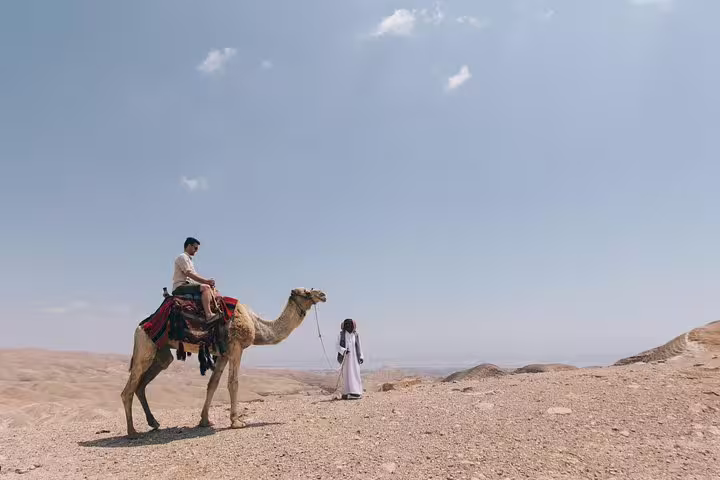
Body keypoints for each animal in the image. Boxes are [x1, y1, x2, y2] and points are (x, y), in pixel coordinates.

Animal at [121, 287, 327, 437]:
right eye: (307, 292)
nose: (323, 295)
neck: (256, 324)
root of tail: (141, 326)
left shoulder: (223, 354)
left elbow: (213, 383)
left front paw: (204, 421)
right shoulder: (236, 347)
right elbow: (233, 382)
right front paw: (236, 421)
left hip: (162, 354)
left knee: (142, 385)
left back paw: (154, 423)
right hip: (145, 346)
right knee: (128, 389)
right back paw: (132, 432)